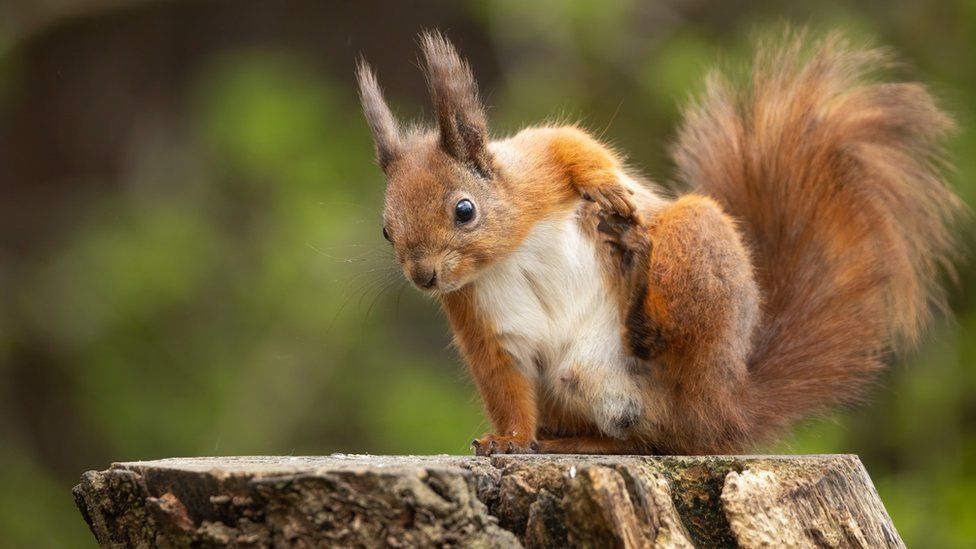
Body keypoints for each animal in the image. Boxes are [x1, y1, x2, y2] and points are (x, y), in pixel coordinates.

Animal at [356, 30, 960, 454]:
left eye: (464, 210)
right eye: (386, 229)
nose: (424, 277)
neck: (508, 254)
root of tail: (727, 406)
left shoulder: (537, 163)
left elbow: (574, 146)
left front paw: (609, 190)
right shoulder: (482, 321)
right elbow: (504, 386)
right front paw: (507, 441)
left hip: (697, 245)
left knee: (671, 368)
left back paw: (640, 285)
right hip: (582, 390)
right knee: (645, 441)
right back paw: (571, 439)